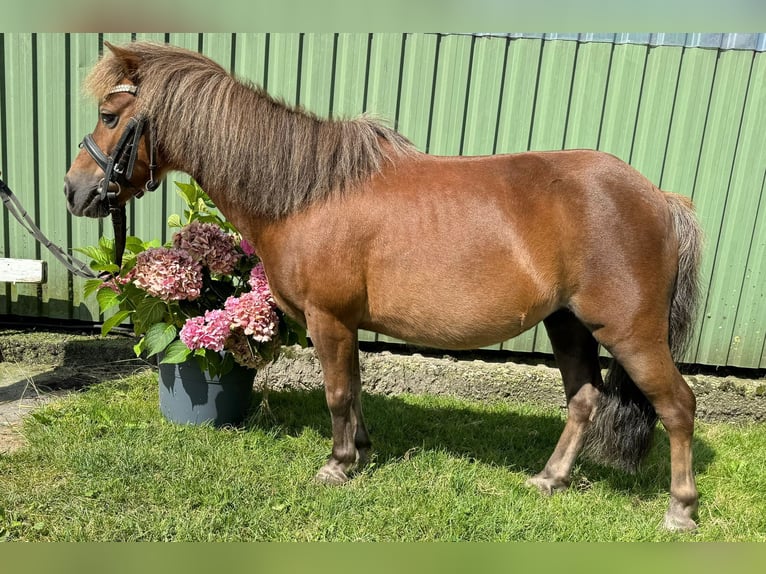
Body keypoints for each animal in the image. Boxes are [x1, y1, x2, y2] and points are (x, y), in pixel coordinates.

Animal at [67, 42, 708, 532]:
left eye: (109, 116)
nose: (74, 191)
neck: (307, 192)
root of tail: (660, 198)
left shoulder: (327, 319)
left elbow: (336, 393)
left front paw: (337, 464)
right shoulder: (347, 324)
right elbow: (354, 390)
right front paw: (363, 453)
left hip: (630, 332)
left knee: (678, 406)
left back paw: (680, 510)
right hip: (569, 324)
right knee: (584, 401)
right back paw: (549, 479)